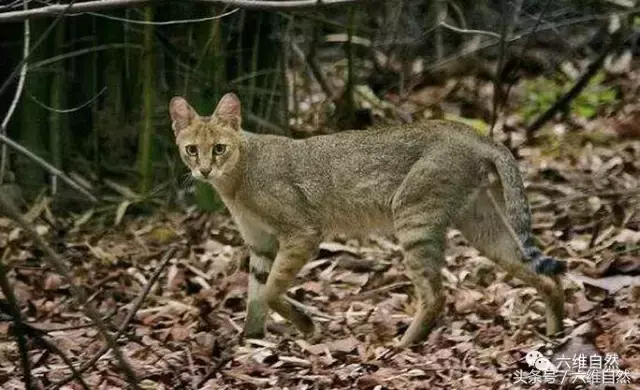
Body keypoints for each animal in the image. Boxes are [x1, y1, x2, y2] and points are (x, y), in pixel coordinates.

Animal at [170, 93, 564, 346]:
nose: (204, 170)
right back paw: (556, 331)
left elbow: (269, 291)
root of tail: (474, 132)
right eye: (191, 150)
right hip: (482, 224)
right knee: (545, 276)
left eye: (219, 148)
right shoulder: (260, 243)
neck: (235, 180)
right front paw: (250, 340)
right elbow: (256, 294)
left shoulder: (301, 232)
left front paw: (306, 325)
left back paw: (403, 345)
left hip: (413, 217)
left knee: (436, 295)